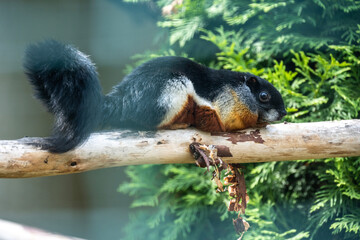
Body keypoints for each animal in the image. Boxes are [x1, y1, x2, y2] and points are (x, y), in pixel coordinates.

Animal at [23, 39, 286, 152]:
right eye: (263, 96)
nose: (284, 112)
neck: (235, 91)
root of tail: (120, 103)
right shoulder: (221, 104)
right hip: (170, 90)